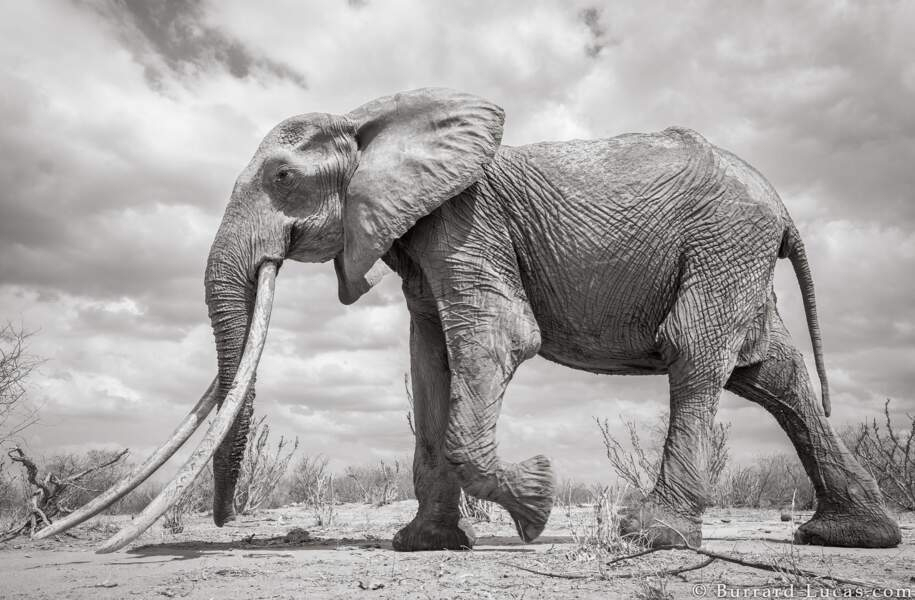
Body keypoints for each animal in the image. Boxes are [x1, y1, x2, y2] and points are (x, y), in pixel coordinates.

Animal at [39, 86, 900, 552]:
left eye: (281, 177)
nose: (219, 522)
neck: (370, 118)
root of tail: (783, 208)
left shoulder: (466, 223)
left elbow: (494, 341)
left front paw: (536, 507)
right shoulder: (423, 246)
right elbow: (429, 363)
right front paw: (422, 544)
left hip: (724, 243)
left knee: (696, 357)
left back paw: (648, 538)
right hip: (734, 255)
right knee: (772, 376)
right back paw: (850, 537)